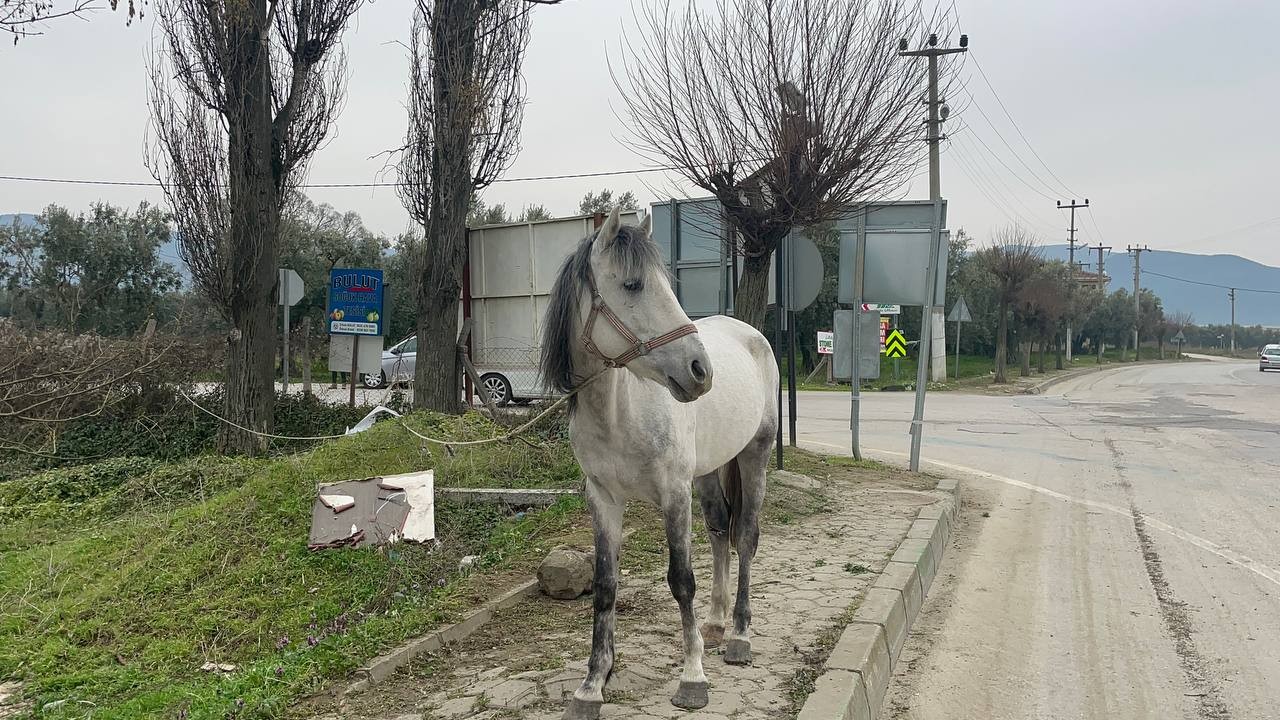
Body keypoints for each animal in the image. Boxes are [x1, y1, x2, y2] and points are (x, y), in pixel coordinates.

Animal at [537, 204, 773, 712]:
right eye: (632, 285)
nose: (701, 371)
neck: (619, 412)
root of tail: (750, 334)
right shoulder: (603, 499)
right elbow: (605, 585)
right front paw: (593, 684)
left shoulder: (673, 494)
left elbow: (681, 579)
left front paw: (693, 677)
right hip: (708, 473)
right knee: (720, 531)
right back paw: (716, 624)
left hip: (755, 455)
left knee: (745, 537)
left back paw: (739, 635)